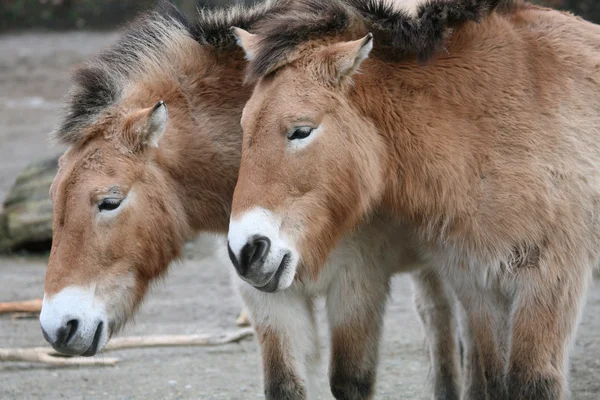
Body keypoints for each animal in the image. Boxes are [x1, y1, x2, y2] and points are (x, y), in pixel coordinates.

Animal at [39, 3, 464, 400]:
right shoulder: (267, 296)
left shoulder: (357, 281)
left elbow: (350, 381)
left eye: (110, 201)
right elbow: (283, 384)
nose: (58, 327)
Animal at [230, 0, 600, 400]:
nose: (245, 252)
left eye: (301, 131)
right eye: (244, 126)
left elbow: (530, 382)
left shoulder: (550, 280)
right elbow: (494, 378)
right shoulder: (478, 285)